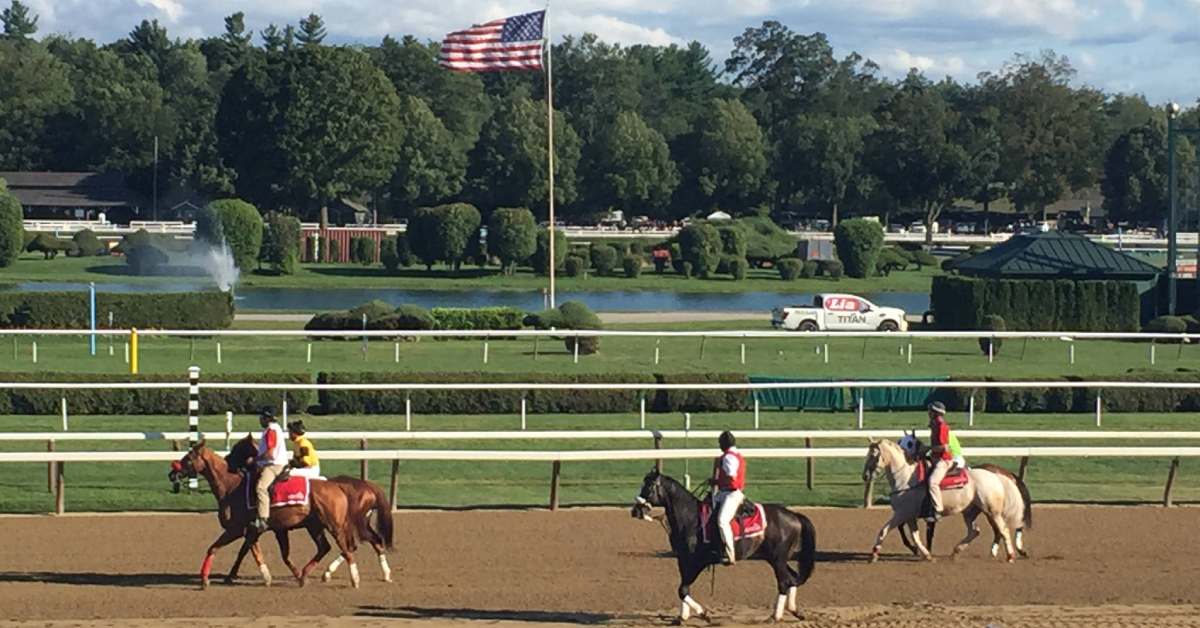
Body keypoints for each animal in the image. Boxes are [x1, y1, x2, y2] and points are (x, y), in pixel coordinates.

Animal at [174, 441, 360, 590]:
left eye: (188, 458)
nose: (172, 473)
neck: (232, 487)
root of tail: (337, 486)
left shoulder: (237, 529)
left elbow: (214, 548)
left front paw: (205, 580)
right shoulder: (255, 530)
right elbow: (253, 552)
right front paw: (256, 576)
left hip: (334, 526)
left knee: (346, 550)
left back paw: (354, 579)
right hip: (314, 526)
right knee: (324, 547)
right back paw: (305, 575)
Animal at [628, 468, 816, 619]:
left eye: (649, 486)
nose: (635, 510)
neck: (691, 518)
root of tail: (793, 515)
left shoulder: (699, 561)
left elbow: (683, 589)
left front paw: (703, 613)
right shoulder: (683, 559)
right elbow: (684, 587)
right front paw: (683, 617)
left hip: (778, 559)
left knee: (784, 582)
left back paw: (775, 617)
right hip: (777, 558)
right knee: (792, 578)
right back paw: (793, 610)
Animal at [859, 437, 1027, 564]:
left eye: (874, 455)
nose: (865, 476)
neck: (906, 478)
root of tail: (996, 475)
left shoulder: (902, 514)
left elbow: (884, 530)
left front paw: (874, 555)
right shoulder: (910, 516)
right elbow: (915, 537)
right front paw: (927, 555)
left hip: (992, 511)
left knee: (1003, 530)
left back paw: (1010, 556)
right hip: (970, 512)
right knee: (975, 531)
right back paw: (955, 552)